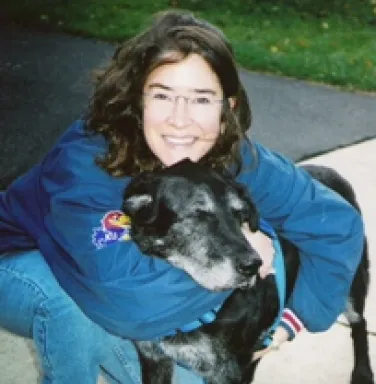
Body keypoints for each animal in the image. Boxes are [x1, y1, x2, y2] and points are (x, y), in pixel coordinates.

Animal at [123, 159, 374, 384]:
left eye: (240, 214)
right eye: (198, 214)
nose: (254, 265)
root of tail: (331, 172)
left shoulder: (233, 372)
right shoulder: (153, 358)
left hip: (351, 280)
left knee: (359, 323)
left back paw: (362, 373)